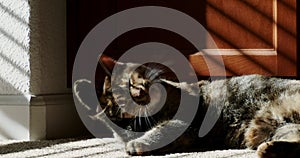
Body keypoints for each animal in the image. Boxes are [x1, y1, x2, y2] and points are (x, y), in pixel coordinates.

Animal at [74, 55, 300, 157]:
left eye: (132, 82)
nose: (140, 91)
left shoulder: (184, 125)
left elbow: (160, 130)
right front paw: (82, 89)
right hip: (273, 126)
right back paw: (270, 149)